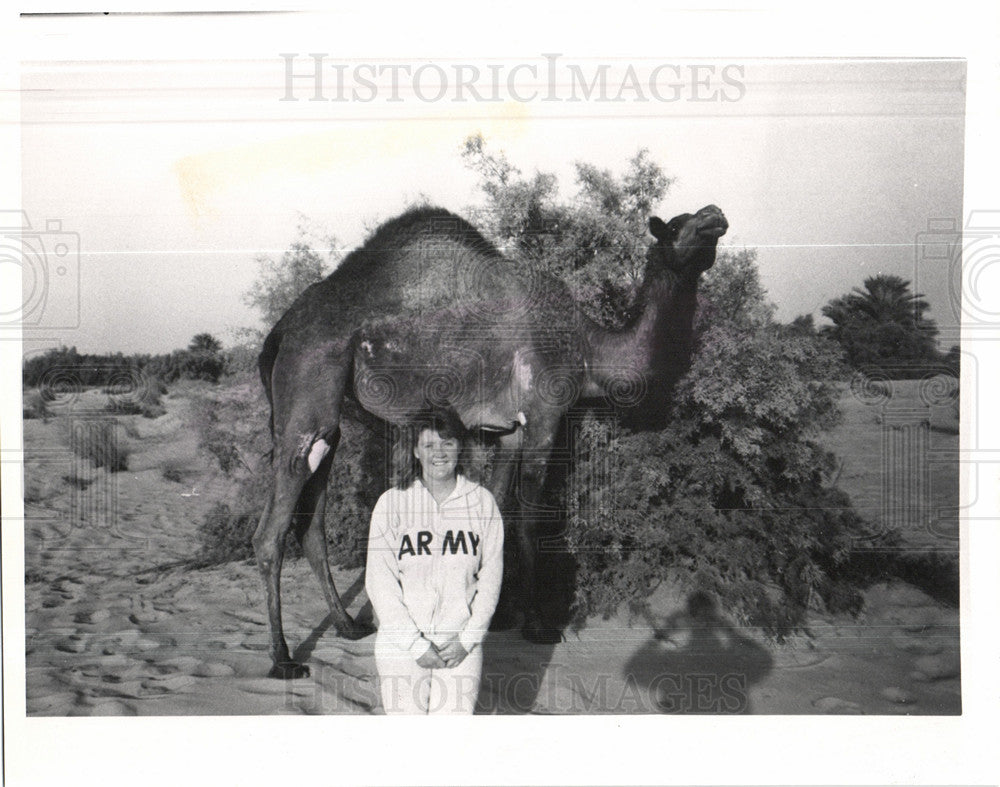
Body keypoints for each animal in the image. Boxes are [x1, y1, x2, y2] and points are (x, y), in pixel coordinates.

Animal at [254, 203, 732, 676]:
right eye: (676, 225)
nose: (715, 214)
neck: (588, 350)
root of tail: (281, 329)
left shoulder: (506, 432)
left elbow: (497, 512)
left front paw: (495, 616)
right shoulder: (544, 413)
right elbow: (530, 517)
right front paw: (536, 625)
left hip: (329, 419)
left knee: (310, 523)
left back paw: (349, 626)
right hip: (310, 382)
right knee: (271, 531)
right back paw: (283, 659)